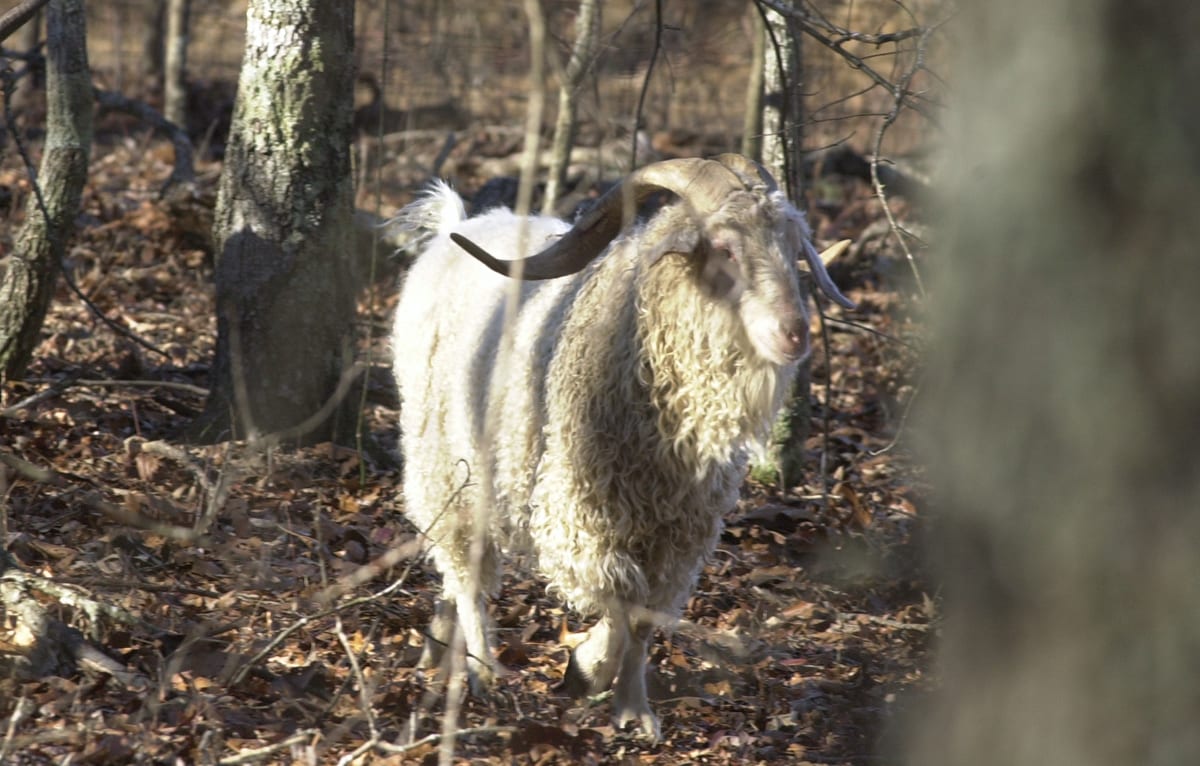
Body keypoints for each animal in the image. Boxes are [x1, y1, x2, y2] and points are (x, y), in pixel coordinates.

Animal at [390, 154, 853, 740]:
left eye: (793, 245)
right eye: (725, 248)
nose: (795, 333)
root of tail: (455, 229)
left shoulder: (679, 534)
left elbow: (644, 617)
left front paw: (634, 709)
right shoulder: (581, 513)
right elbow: (617, 596)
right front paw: (586, 669)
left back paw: (436, 645)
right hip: (443, 459)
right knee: (464, 564)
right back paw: (483, 672)